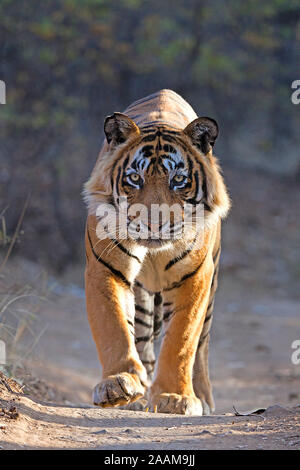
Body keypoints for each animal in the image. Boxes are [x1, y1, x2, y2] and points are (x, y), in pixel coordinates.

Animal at [83, 89, 231, 414]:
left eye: (178, 180)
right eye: (134, 178)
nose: (154, 223)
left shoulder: (195, 277)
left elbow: (182, 340)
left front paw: (175, 397)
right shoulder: (104, 267)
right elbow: (112, 325)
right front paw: (117, 385)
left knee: (201, 346)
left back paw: (203, 397)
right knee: (142, 337)